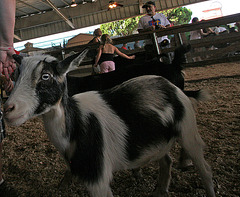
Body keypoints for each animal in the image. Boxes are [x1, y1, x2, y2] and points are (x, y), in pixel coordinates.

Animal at [3, 49, 215, 197]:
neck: (77, 124)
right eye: (15, 76)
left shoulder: (98, 177)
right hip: (156, 141)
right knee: (166, 160)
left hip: (188, 129)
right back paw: (160, 190)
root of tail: (165, 81)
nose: (8, 109)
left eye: (45, 76)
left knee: (205, 169)